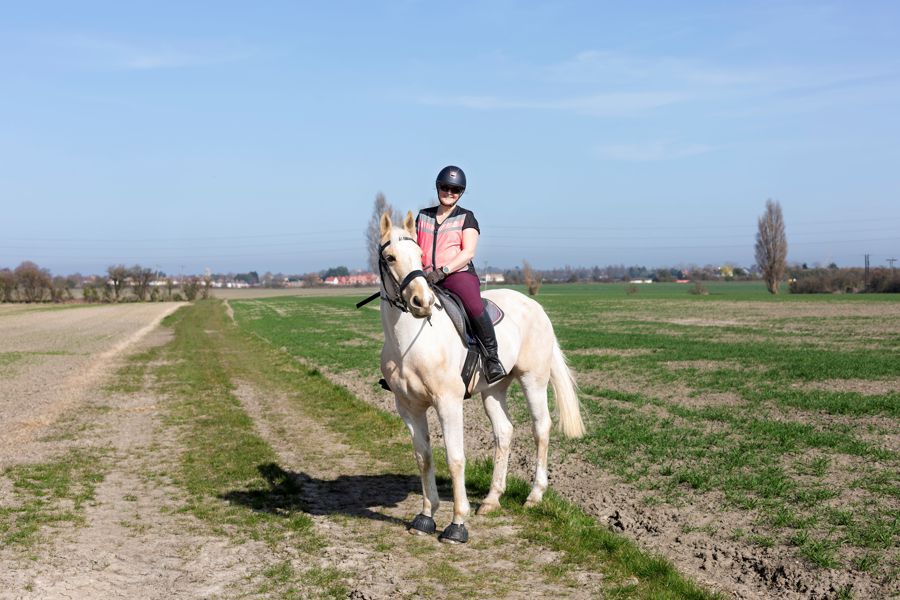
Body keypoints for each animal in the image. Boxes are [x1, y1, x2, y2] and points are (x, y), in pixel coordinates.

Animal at [377, 211, 584, 543]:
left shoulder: (448, 403)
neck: (411, 342)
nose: (422, 302)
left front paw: (457, 524)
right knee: (505, 432)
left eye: (419, 255)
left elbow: (455, 457)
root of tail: (535, 306)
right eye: (390, 257)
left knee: (541, 428)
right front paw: (425, 517)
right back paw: (491, 499)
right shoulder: (408, 407)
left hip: (533, 380)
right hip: (494, 390)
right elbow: (424, 458)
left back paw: (534, 495)